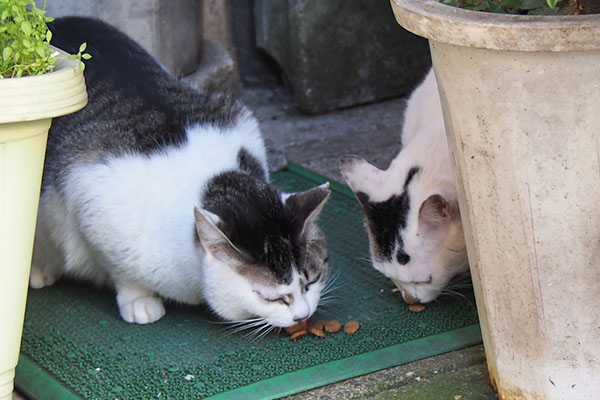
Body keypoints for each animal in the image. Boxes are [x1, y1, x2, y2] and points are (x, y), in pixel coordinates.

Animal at [31, 17, 332, 328]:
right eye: (270, 298)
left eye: (311, 281)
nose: (303, 315)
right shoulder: (91, 201)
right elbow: (121, 271)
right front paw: (139, 299)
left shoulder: (242, 121)